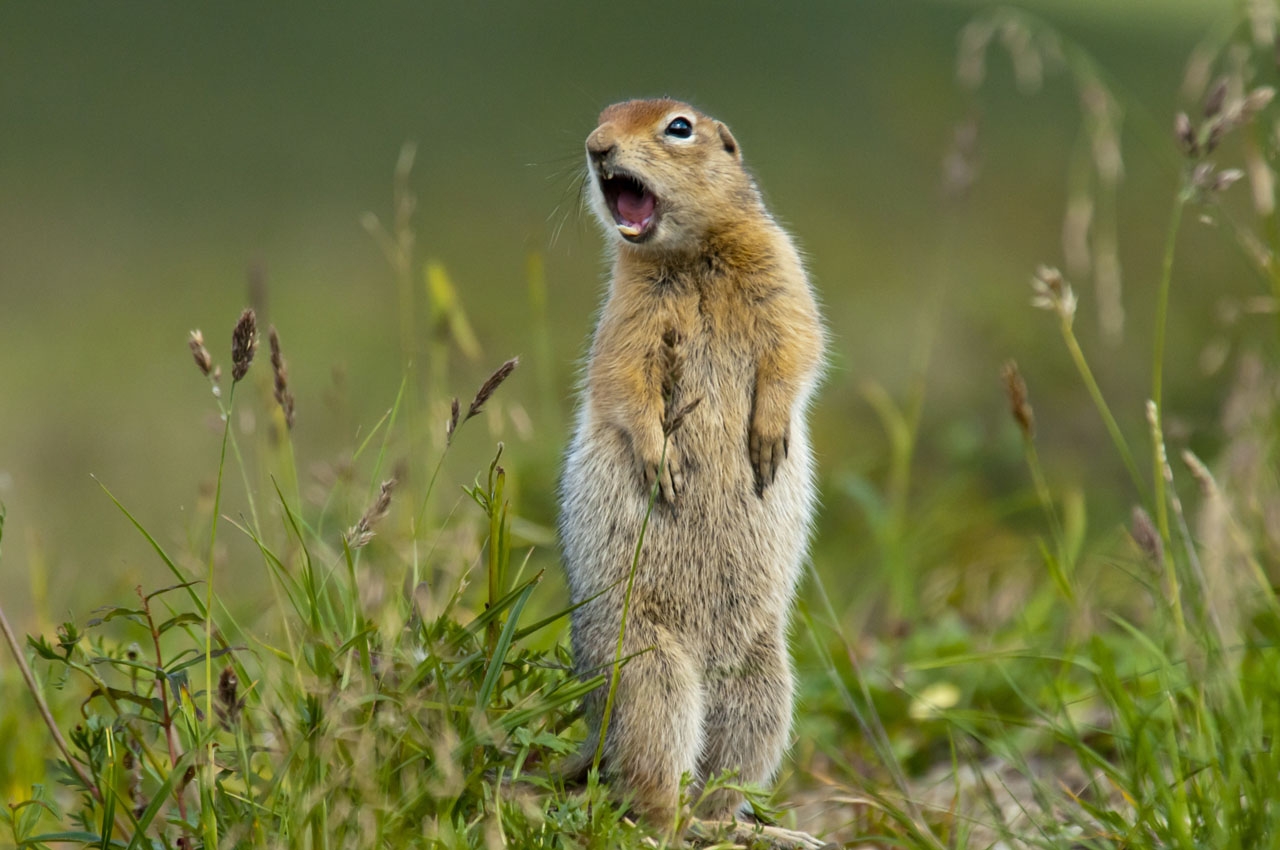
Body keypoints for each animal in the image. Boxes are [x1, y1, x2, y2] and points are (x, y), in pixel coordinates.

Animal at [563, 96, 829, 824]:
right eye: (602, 113)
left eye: (678, 127)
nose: (596, 145)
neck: (688, 253)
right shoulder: (625, 314)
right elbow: (623, 379)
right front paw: (663, 464)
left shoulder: (782, 266)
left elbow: (798, 342)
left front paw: (767, 438)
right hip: (648, 670)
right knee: (648, 766)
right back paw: (670, 817)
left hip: (763, 686)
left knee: (728, 762)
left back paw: (729, 818)